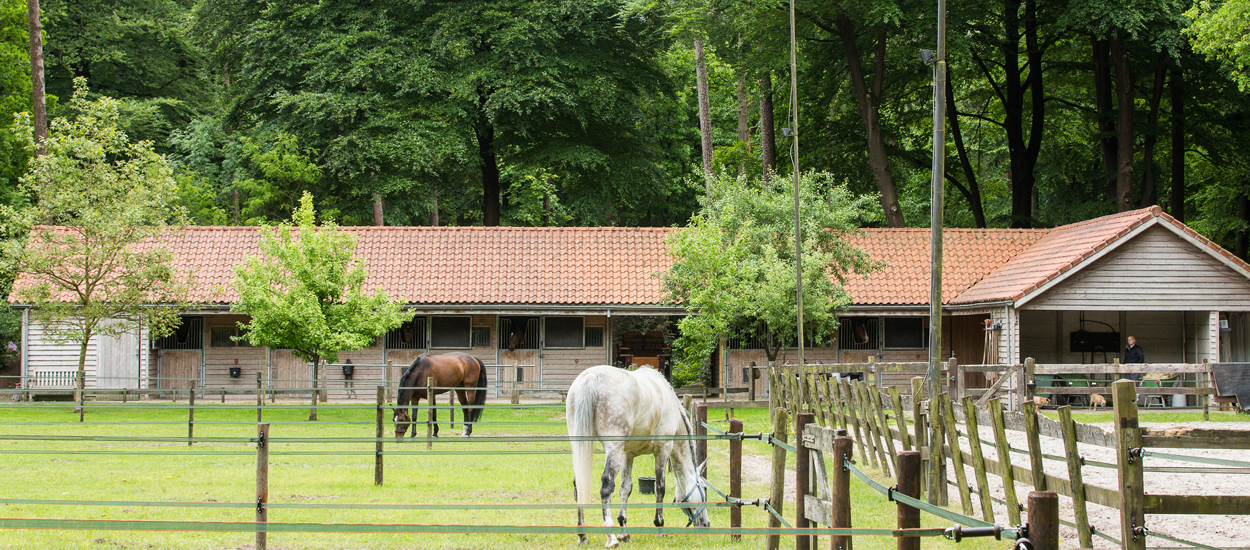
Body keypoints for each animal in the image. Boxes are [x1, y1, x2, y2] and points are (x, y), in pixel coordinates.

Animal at [570, 365, 715, 545]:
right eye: (703, 488)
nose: (706, 524)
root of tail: (591, 377)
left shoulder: (627, 454)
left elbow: (626, 488)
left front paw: (624, 532)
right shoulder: (663, 450)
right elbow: (660, 488)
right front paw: (659, 526)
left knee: (579, 485)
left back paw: (583, 535)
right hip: (613, 448)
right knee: (606, 486)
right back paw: (610, 538)